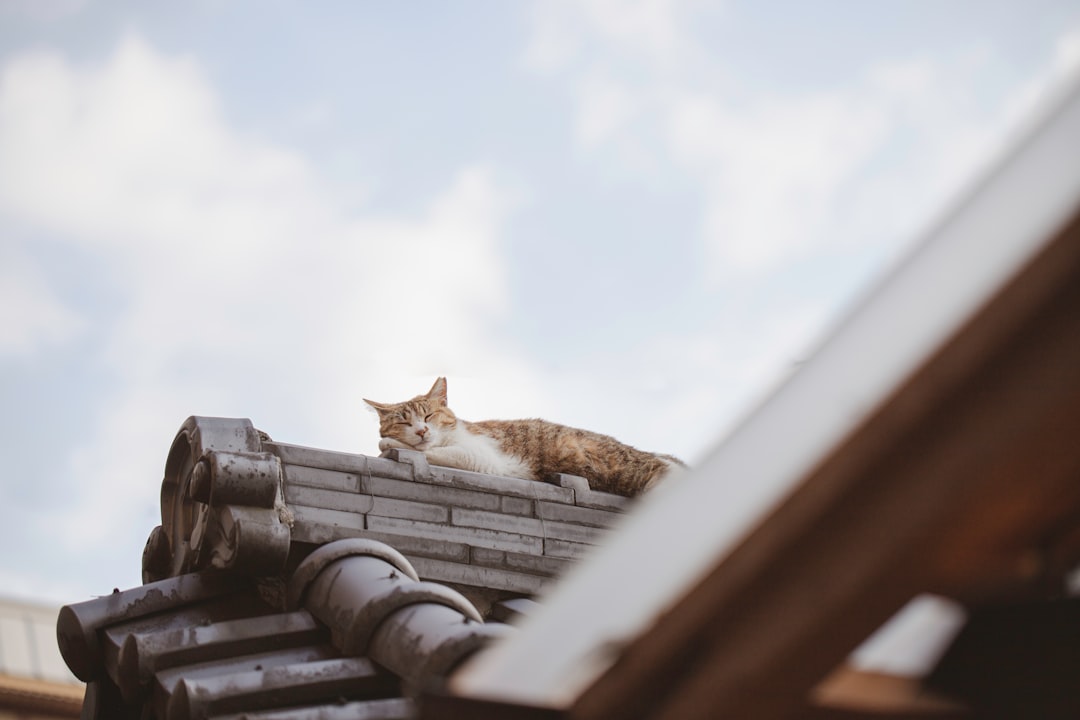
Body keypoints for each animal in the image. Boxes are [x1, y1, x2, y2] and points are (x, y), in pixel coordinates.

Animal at [365, 377, 682, 496]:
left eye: (429, 416)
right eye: (405, 421)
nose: (421, 430)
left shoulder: (480, 457)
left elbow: (427, 451)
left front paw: (388, 443)